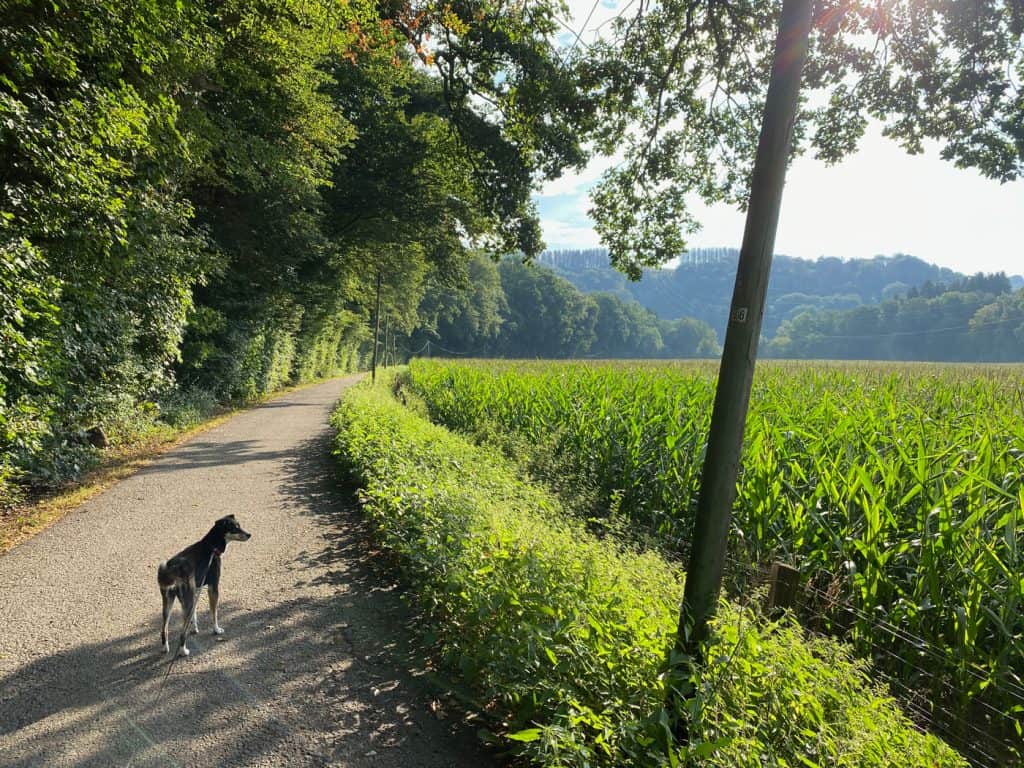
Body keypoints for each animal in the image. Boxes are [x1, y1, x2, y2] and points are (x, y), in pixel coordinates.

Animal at [156, 518, 250, 655]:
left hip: (168, 603)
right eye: (234, 528)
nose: (249, 535)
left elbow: (193, 615)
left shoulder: (195, 590)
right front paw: (216, 630)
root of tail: (173, 569)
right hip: (184, 600)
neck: (211, 547)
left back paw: (165, 648)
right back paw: (183, 651)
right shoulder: (213, 587)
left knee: (164, 629)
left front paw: (194, 628)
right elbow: (214, 613)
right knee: (181, 633)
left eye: (239, 525)